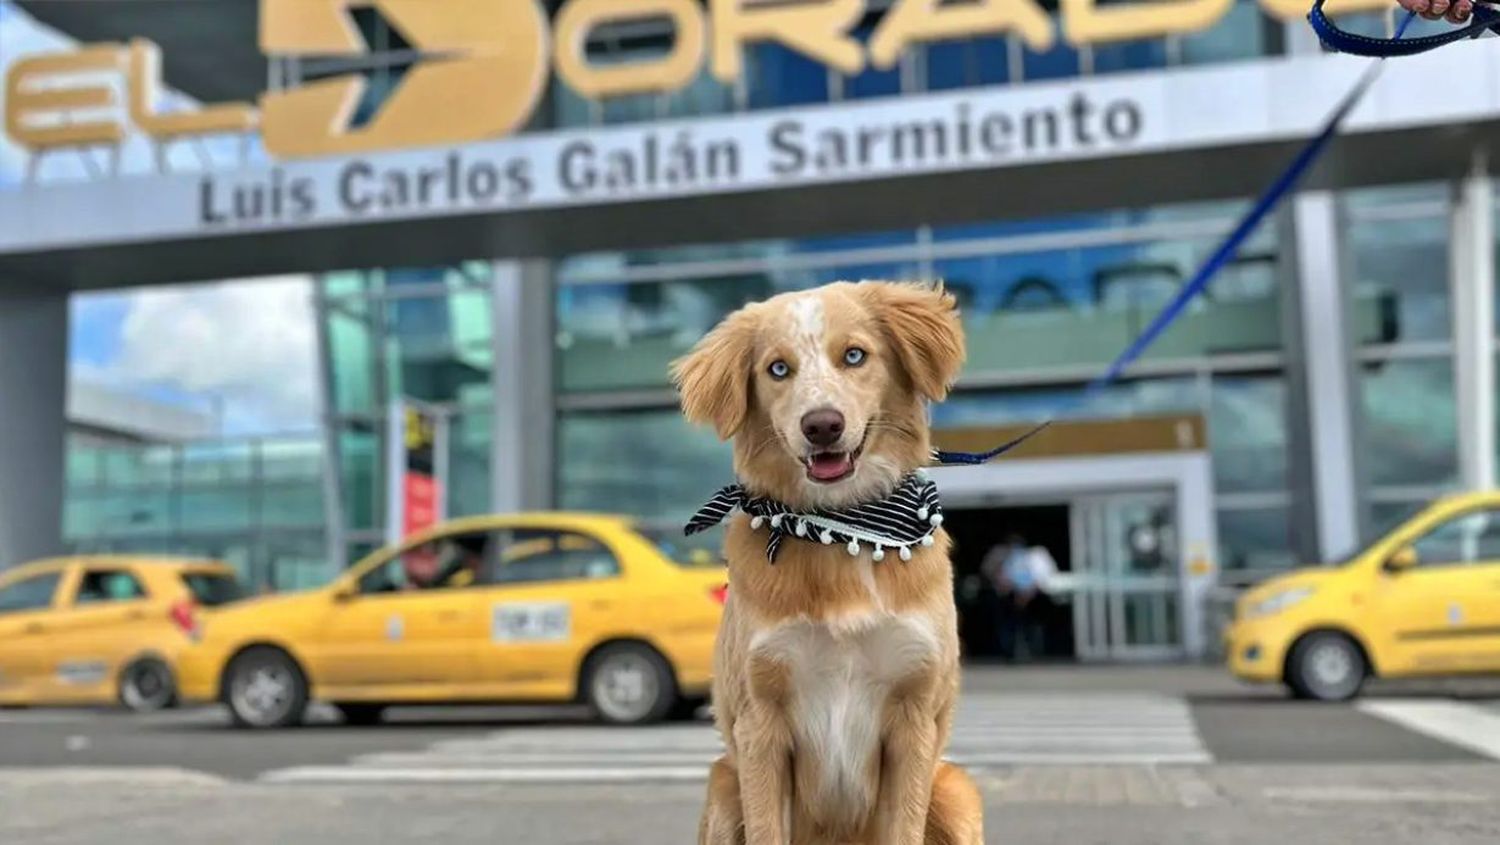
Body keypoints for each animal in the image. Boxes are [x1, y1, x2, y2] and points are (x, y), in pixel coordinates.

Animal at [672, 282, 978, 845]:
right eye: (777, 368)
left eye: (854, 355)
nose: (821, 425)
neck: (843, 530)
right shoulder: (760, 721)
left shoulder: (914, 716)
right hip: (723, 785)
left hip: (956, 790)